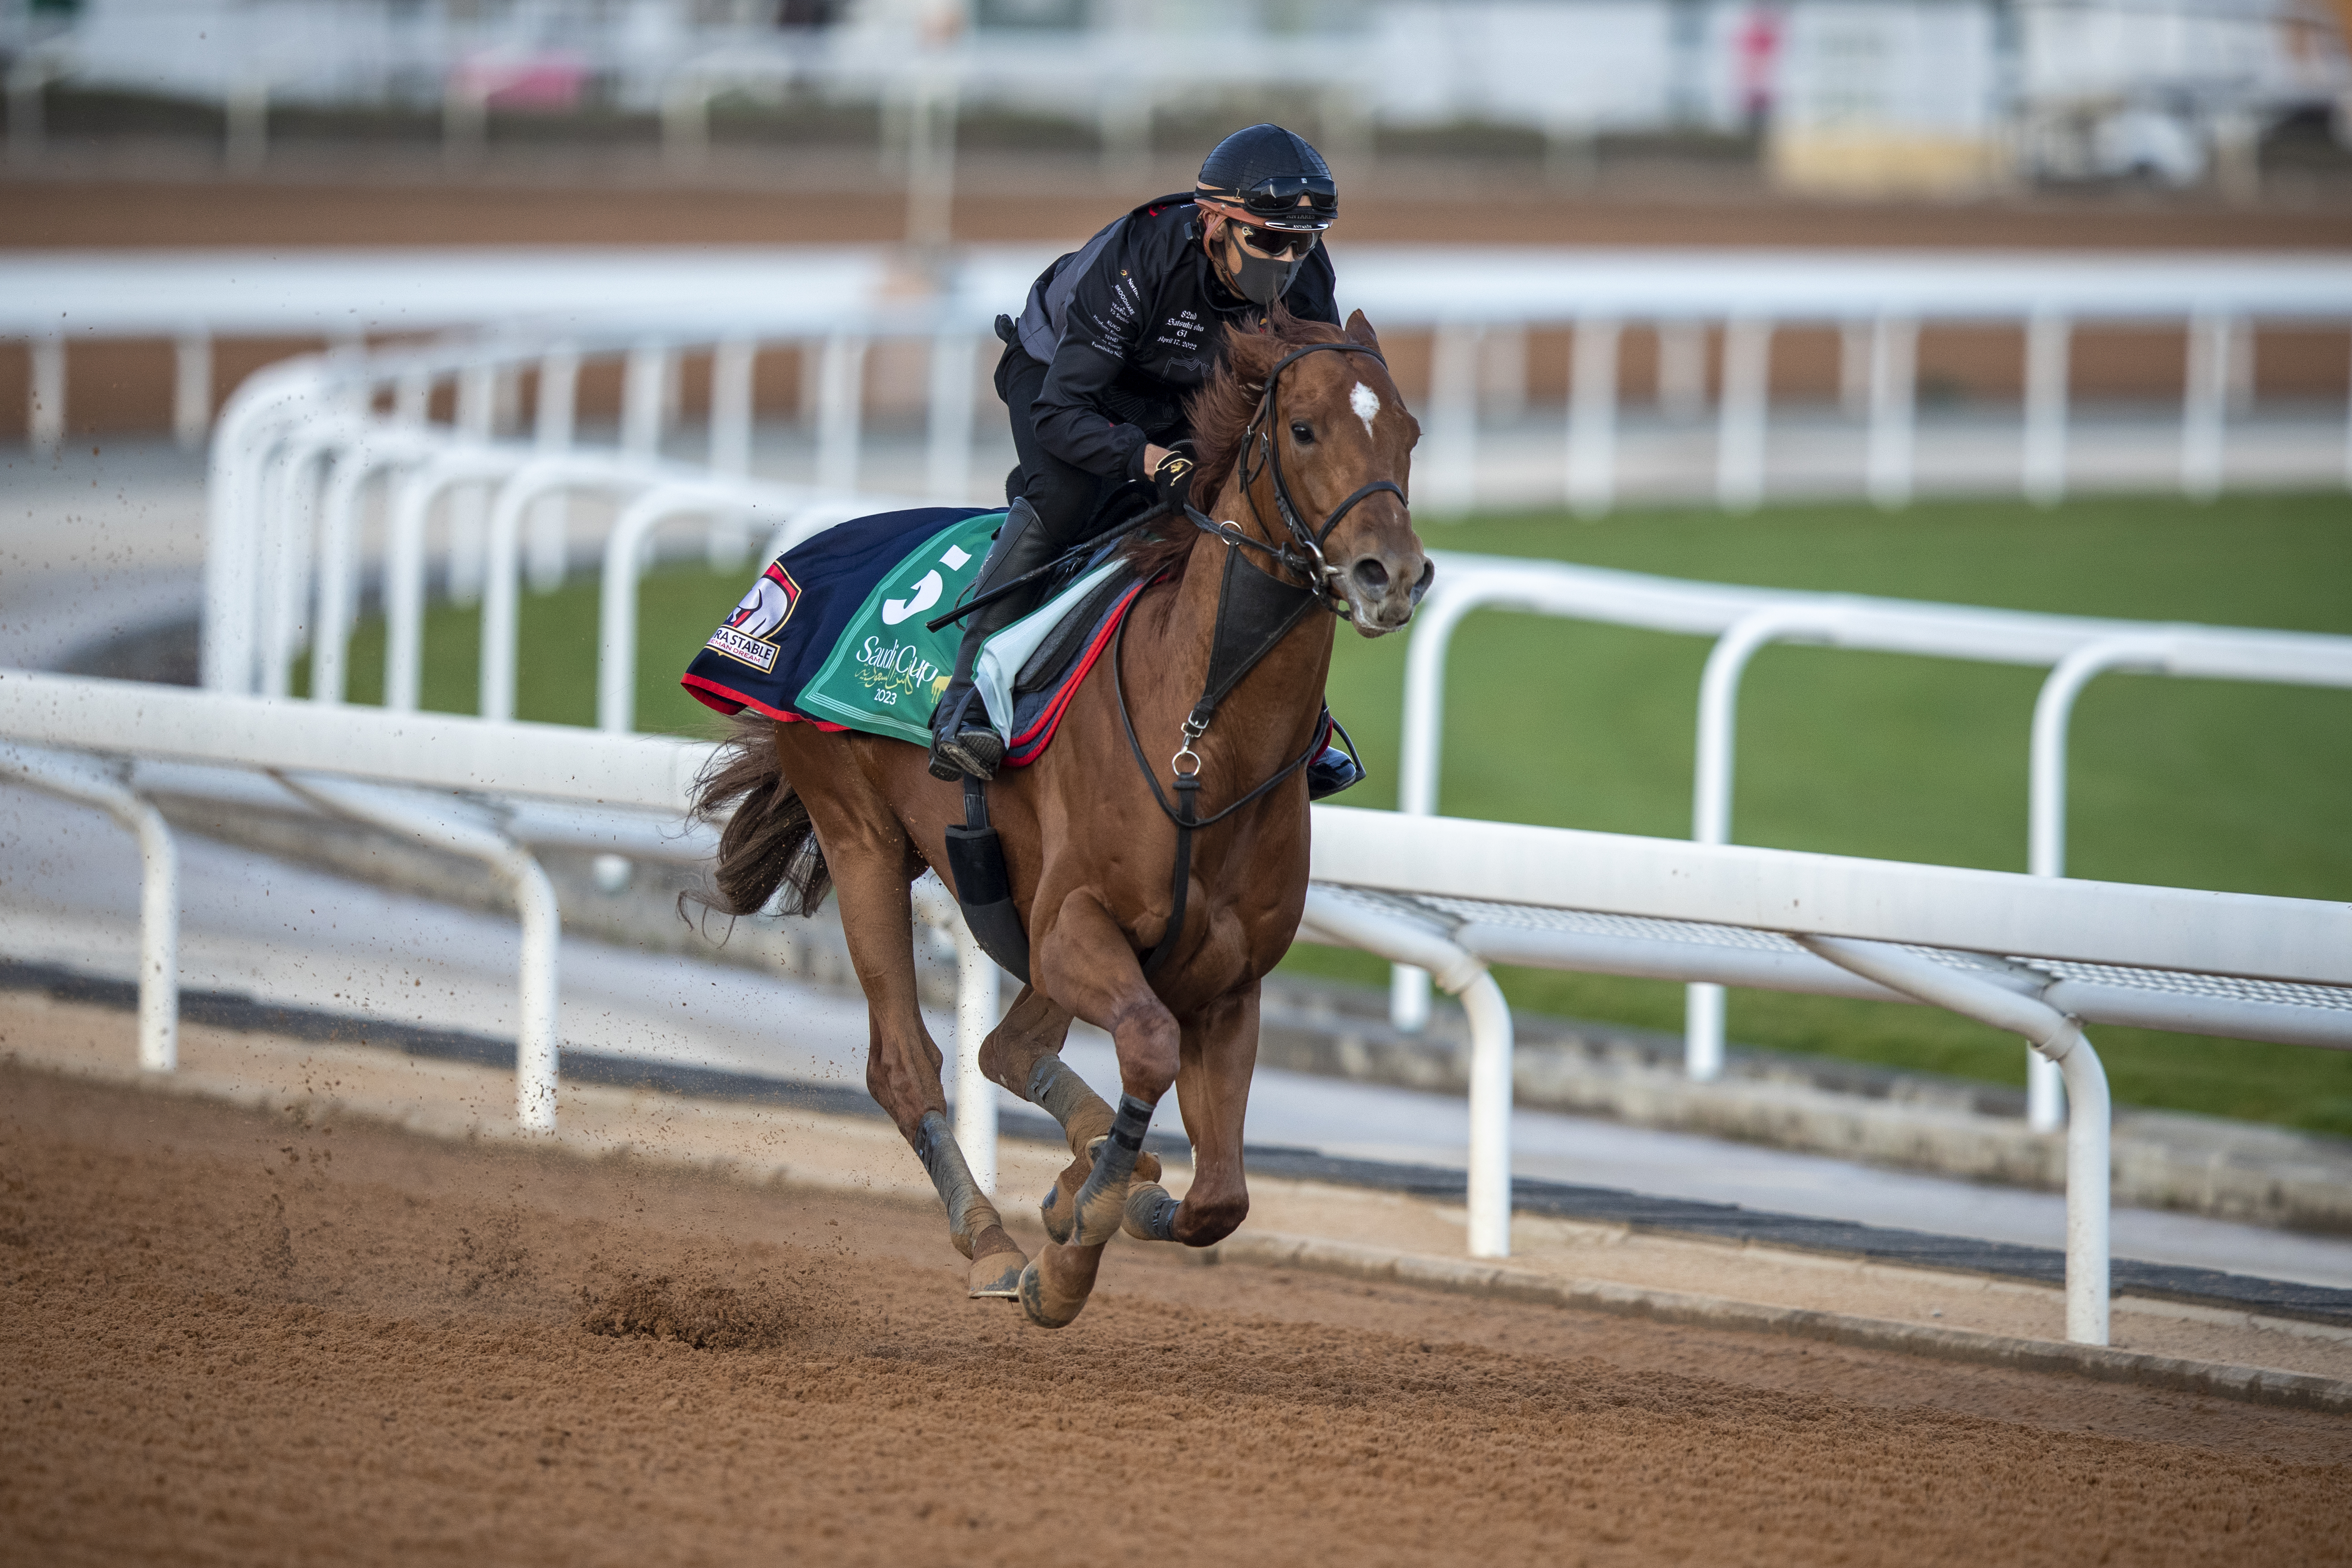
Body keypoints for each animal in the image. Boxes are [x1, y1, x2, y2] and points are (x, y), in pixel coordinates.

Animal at [686, 313, 1420, 1335]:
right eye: (1304, 429)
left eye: (1410, 433)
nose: (1391, 575)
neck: (1199, 740)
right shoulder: (1077, 924)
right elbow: (1146, 1046)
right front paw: (1072, 1250)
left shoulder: (1226, 980)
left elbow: (1219, 1200)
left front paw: (1106, 1196)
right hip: (862, 834)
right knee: (904, 1065)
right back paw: (994, 1242)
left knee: (1007, 1047)